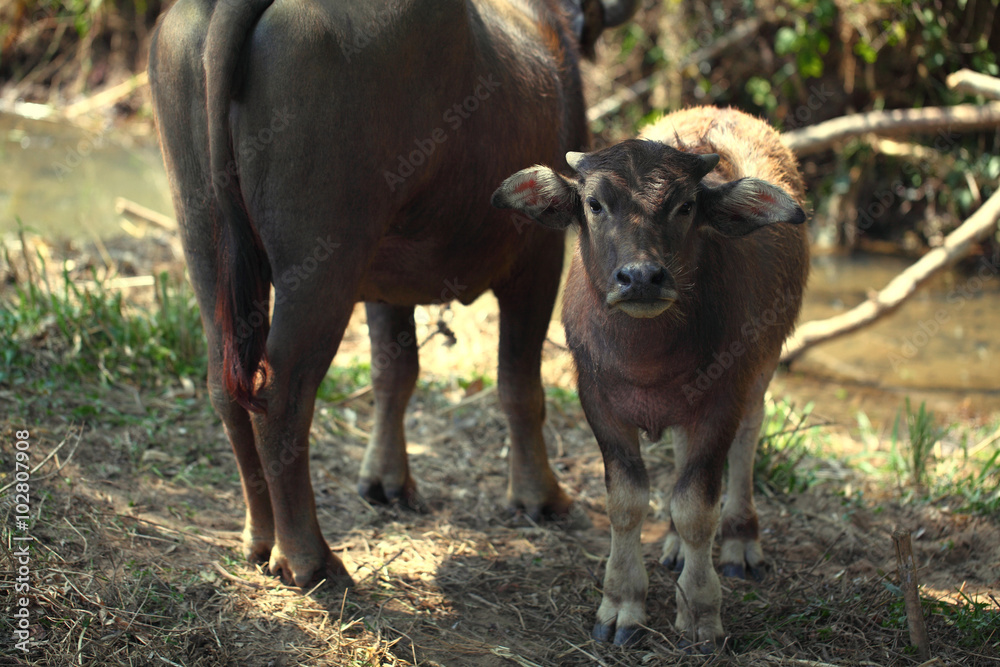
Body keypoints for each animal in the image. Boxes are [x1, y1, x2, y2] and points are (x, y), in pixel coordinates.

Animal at [149, 0, 640, 584]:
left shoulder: (386, 286)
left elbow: (394, 375)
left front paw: (386, 481)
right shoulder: (538, 259)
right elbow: (520, 387)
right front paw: (540, 496)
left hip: (205, 246)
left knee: (227, 387)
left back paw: (259, 539)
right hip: (322, 265)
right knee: (282, 394)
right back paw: (309, 559)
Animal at [494, 108, 812, 648]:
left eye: (685, 205)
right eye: (595, 203)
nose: (641, 277)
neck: (648, 360)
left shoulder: (722, 399)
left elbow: (697, 506)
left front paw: (701, 612)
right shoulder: (598, 402)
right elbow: (626, 502)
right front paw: (621, 604)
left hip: (762, 367)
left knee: (748, 438)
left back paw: (740, 542)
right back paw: (676, 548)